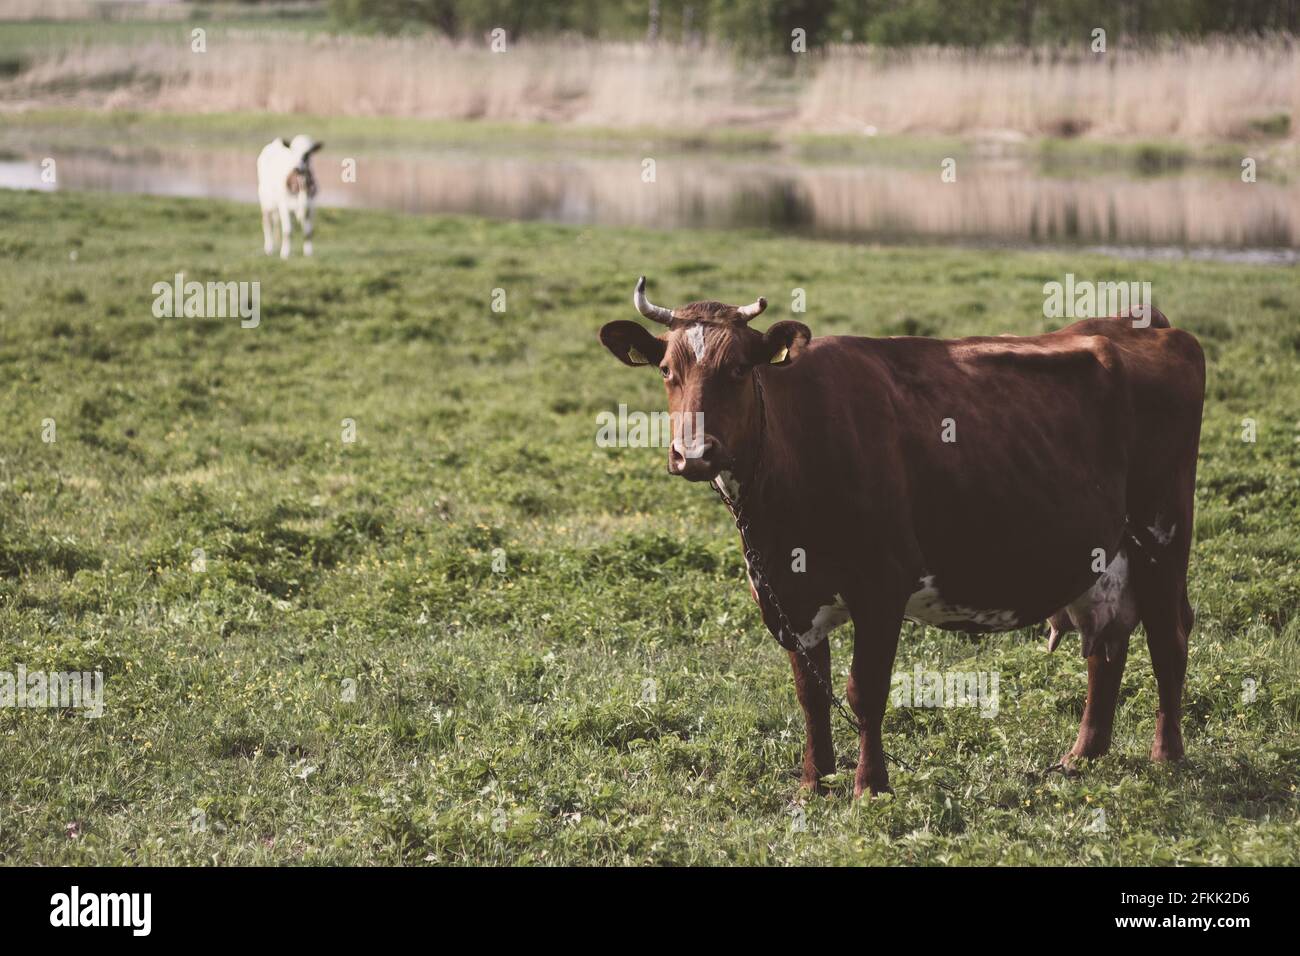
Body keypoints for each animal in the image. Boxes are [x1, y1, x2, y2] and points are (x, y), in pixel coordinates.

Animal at [603, 278, 1201, 801]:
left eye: (736, 368)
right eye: (666, 370)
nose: (694, 454)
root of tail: (1137, 322)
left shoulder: (881, 584)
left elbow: (864, 690)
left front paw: (870, 787)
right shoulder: (785, 595)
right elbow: (811, 693)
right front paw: (813, 783)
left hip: (1162, 536)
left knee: (1167, 640)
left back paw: (1167, 755)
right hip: (1106, 555)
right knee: (1106, 646)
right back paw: (1083, 755)